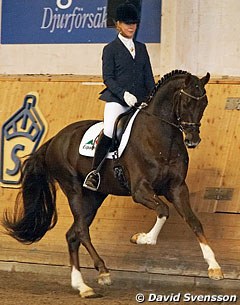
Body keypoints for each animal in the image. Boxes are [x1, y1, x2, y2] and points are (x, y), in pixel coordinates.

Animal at [2, 69, 223, 296]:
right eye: (187, 102)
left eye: (204, 103)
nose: (193, 140)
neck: (161, 138)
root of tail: (55, 139)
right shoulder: (140, 190)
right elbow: (163, 210)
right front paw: (142, 238)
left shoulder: (177, 188)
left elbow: (194, 221)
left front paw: (214, 267)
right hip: (73, 190)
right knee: (81, 231)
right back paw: (103, 271)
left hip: (94, 197)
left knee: (73, 234)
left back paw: (82, 286)